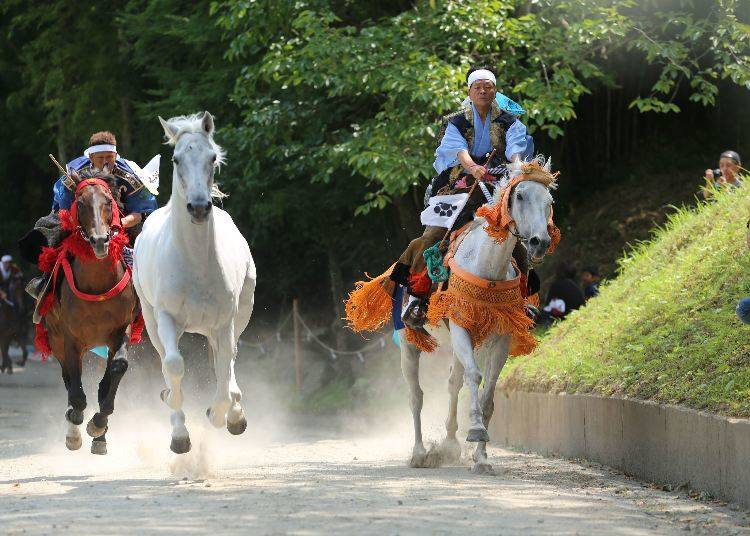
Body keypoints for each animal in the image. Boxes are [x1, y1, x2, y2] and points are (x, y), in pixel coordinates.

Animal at [40, 165, 140, 454]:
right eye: (81, 204)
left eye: (108, 202)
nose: (99, 240)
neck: (97, 284)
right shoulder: (70, 337)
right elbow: (76, 391)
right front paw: (75, 427)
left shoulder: (121, 329)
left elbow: (117, 368)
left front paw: (98, 424)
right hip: (56, 338)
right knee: (69, 380)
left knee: (103, 381)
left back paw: (100, 436)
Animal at [131, 112, 256, 452]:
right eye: (176, 159)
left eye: (212, 157)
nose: (199, 207)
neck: (196, 264)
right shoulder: (165, 318)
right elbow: (174, 365)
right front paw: (179, 436)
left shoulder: (225, 322)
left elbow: (224, 369)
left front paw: (222, 414)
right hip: (151, 320)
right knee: (167, 362)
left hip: (240, 313)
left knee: (229, 360)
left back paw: (234, 412)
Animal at [400, 157, 560, 476]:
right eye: (520, 196)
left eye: (549, 201)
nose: (539, 242)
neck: (486, 266)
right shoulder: (461, 325)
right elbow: (474, 376)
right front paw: (475, 431)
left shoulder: (500, 336)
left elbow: (487, 391)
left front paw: (482, 457)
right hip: (408, 342)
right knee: (416, 396)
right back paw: (420, 453)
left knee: (452, 383)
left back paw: (450, 445)